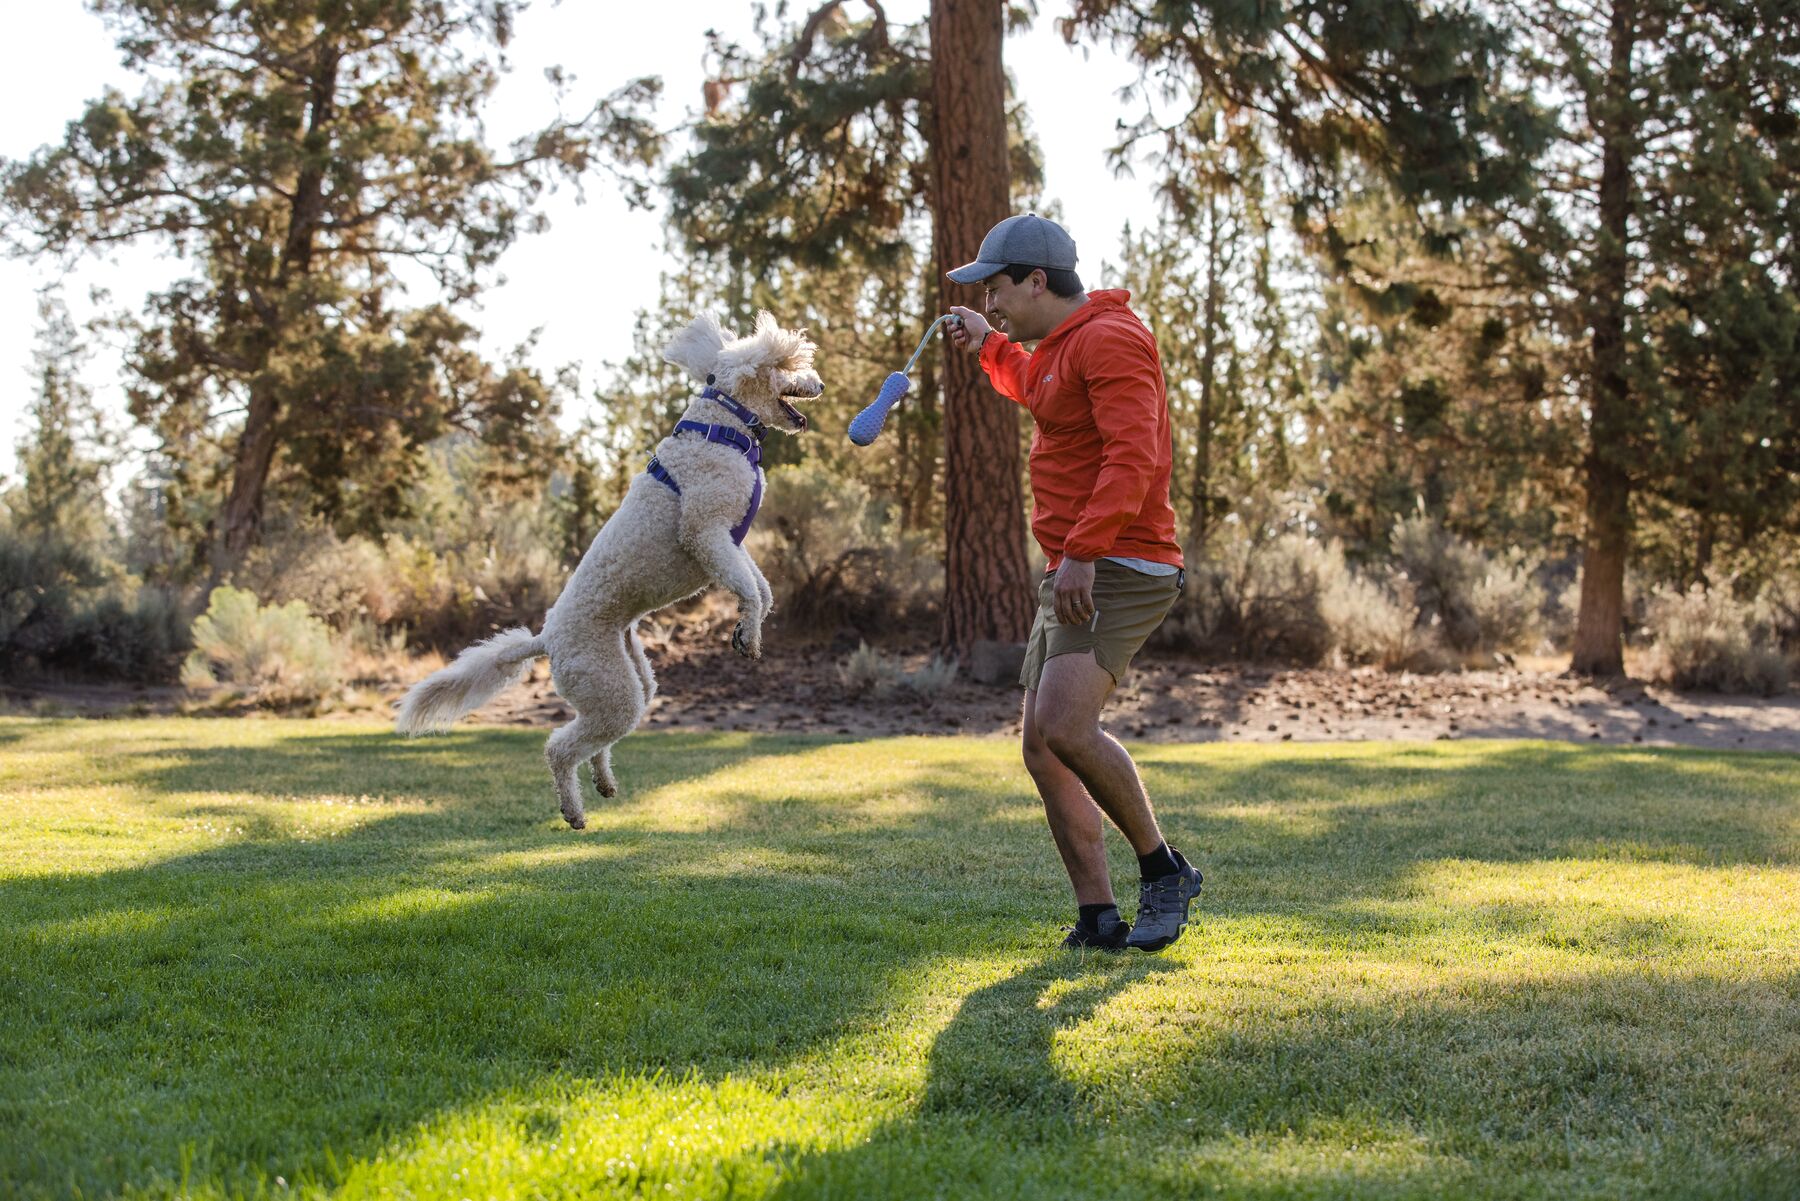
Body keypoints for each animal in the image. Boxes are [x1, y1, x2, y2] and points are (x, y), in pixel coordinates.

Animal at [397, 315, 824, 831]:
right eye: (789, 365)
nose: (821, 385)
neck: (722, 426)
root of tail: (545, 639)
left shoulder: (729, 540)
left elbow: (760, 585)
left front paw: (751, 626)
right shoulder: (705, 532)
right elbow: (747, 586)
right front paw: (750, 633)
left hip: (631, 677)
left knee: (599, 740)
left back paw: (603, 781)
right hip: (608, 686)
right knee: (561, 749)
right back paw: (573, 810)